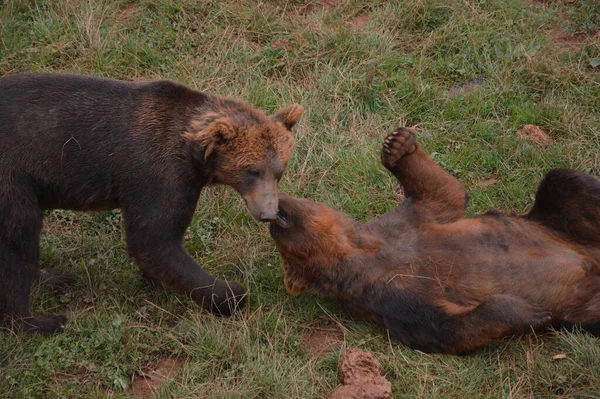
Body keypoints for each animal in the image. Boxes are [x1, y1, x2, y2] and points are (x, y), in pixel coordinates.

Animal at [0, 73, 302, 336]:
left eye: (279, 171)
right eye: (252, 171)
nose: (268, 212)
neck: (192, 154)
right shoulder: (156, 172)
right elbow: (154, 240)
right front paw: (231, 293)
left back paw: (55, 280)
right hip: (13, 179)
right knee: (18, 238)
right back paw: (39, 321)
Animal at [270, 128, 596, 356]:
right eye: (289, 257)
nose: (272, 219)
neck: (363, 251)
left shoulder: (408, 223)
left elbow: (443, 193)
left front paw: (397, 145)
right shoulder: (389, 296)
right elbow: (445, 327)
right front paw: (528, 311)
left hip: (557, 225)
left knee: (566, 181)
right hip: (585, 313)